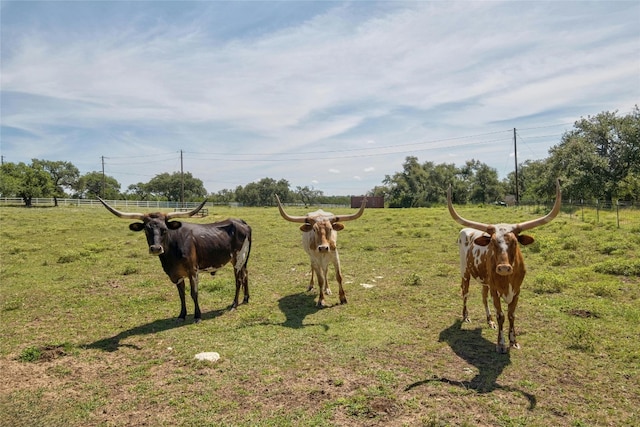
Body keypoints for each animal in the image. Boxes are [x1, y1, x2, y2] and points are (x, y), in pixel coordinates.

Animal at [99, 199, 251, 322]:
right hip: (243, 260)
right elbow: (181, 294)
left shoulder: (193, 271)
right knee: (245, 275)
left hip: (238, 259)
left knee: (238, 280)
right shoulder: (176, 275)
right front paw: (182, 315)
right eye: (146, 230)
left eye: (164, 229)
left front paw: (197, 316)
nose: (155, 248)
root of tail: (241, 222)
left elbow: (194, 293)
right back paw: (246, 298)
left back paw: (234, 304)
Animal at [444, 182, 560, 352]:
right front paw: (501, 343)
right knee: (465, 292)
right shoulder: (495, 290)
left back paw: (489, 321)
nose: (504, 268)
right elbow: (501, 315)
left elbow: (511, 315)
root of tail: (466, 230)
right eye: (492, 242)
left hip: (485, 281)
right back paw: (466, 316)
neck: (507, 281)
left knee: (483, 297)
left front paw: (513, 341)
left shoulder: (517, 290)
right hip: (465, 272)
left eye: (515, 242)